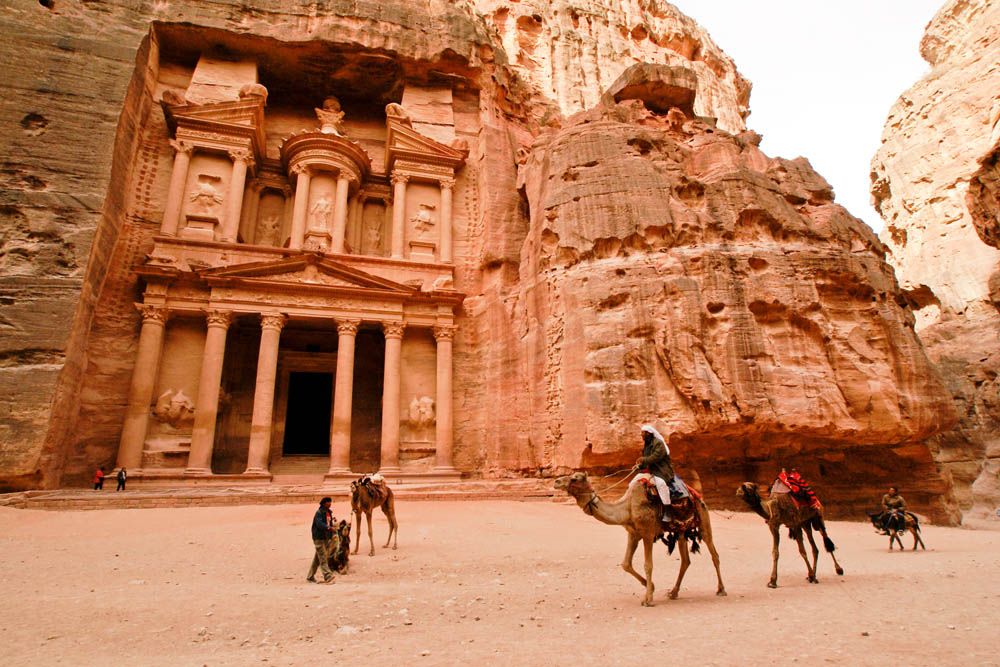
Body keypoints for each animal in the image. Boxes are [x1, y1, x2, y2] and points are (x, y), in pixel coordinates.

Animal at [556, 472, 728, 608]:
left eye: (575, 478)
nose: (556, 481)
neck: (628, 507)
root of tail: (695, 493)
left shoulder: (647, 533)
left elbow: (648, 565)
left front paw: (648, 599)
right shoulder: (633, 534)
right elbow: (625, 564)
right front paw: (651, 586)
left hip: (703, 520)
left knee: (714, 555)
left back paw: (721, 590)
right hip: (680, 531)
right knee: (685, 560)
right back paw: (673, 593)